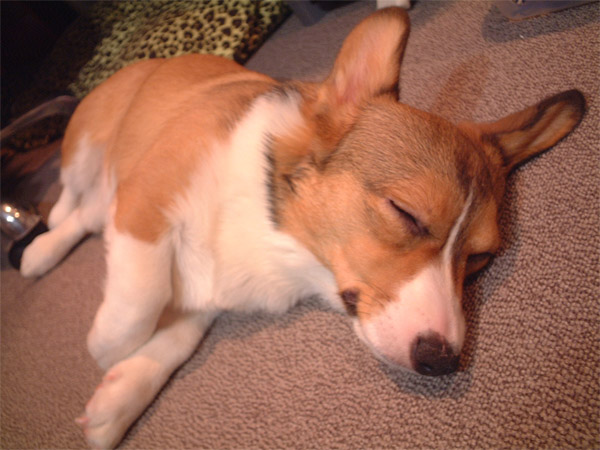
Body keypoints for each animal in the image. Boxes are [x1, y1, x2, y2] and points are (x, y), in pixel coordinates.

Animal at [19, 7, 584, 448]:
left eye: (481, 257)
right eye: (405, 212)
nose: (442, 362)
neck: (276, 229)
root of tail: (149, 63)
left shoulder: (206, 291)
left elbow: (175, 338)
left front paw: (116, 402)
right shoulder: (146, 195)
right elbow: (138, 304)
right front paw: (104, 349)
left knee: (89, 214)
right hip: (85, 147)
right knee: (74, 204)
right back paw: (40, 245)